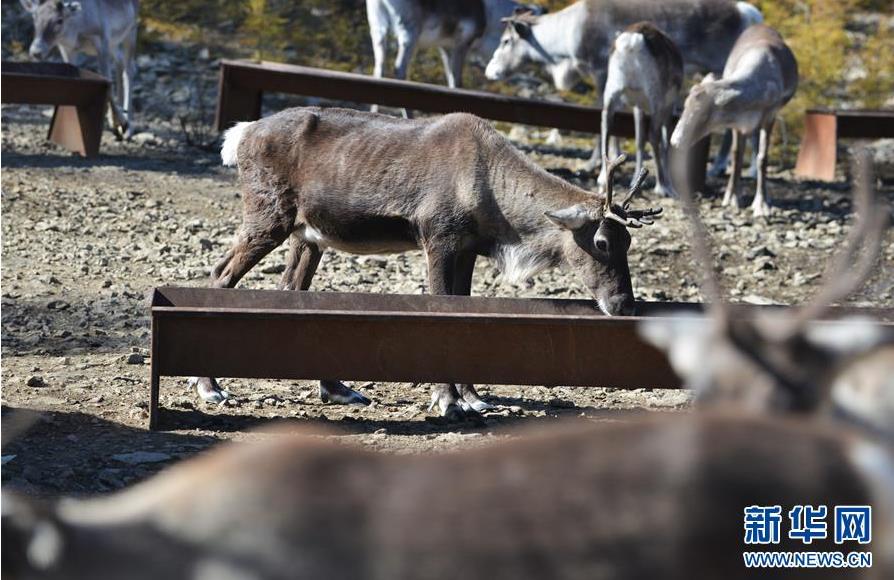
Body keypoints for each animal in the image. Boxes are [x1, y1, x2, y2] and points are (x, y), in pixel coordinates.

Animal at [19, 0, 139, 139]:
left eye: (59, 20)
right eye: (34, 17)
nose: (36, 52)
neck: (77, 29)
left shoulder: (102, 42)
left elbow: (107, 81)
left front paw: (121, 122)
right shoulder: (66, 48)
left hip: (131, 32)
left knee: (130, 69)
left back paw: (129, 125)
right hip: (114, 45)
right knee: (120, 61)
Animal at [198, 107, 661, 420]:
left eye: (629, 240)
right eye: (601, 241)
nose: (625, 305)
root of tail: (240, 135)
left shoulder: (468, 249)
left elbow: (465, 310)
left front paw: (473, 396)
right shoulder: (437, 238)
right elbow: (440, 308)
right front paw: (447, 400)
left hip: (308, 235)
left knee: (292, 290)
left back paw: (337, 389)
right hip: (268, 217)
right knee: (221, 275)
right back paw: (210, 388)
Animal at [484, 0, 764, 171]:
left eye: (506, 41)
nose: (490, 71)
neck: (570, 34)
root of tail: (751, 13)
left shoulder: (600, 71)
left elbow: (605, 119)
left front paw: (594, 162)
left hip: (725, 68)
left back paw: (723, 166)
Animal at [597, 22, 683, 198]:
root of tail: (632, 41)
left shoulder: (638, 107)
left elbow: (639, 140)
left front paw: (635, 180)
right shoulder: (666, 108)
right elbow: (665, 144)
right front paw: (670, 187)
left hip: (612, 92)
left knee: (606, 125)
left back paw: (602, 181)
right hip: (655, 98)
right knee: (654, 136)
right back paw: (662, 187)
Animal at [670, 25, 798, 218]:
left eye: (703, 114)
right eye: (685, 105)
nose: (675, 140)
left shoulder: (769, 116)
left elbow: (762, 158)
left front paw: (762, 204)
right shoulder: (738, 123)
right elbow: (736, 156)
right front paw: (731, 198)